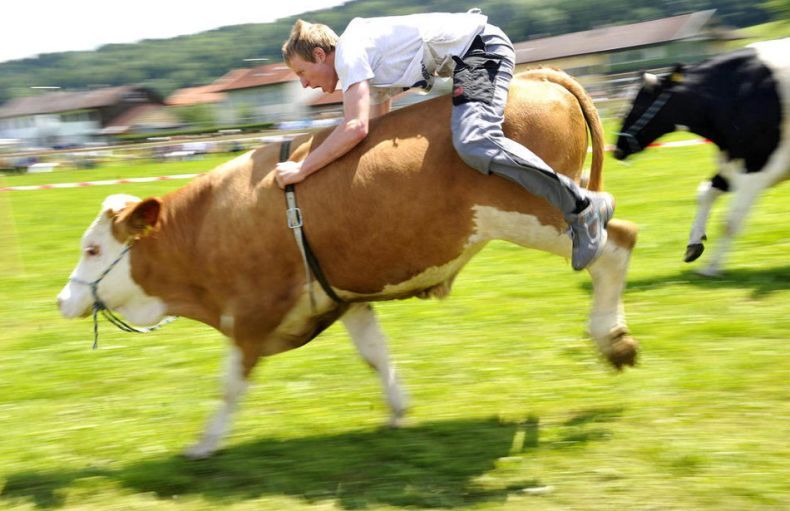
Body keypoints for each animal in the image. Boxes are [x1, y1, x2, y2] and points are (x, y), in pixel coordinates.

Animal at [620, 38, 790, 276]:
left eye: (636, 104)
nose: (617, 146)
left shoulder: (756, 169)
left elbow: (729, 221)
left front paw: (710, 268)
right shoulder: (732, 164)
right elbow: (704, 193)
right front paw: (694, 245)